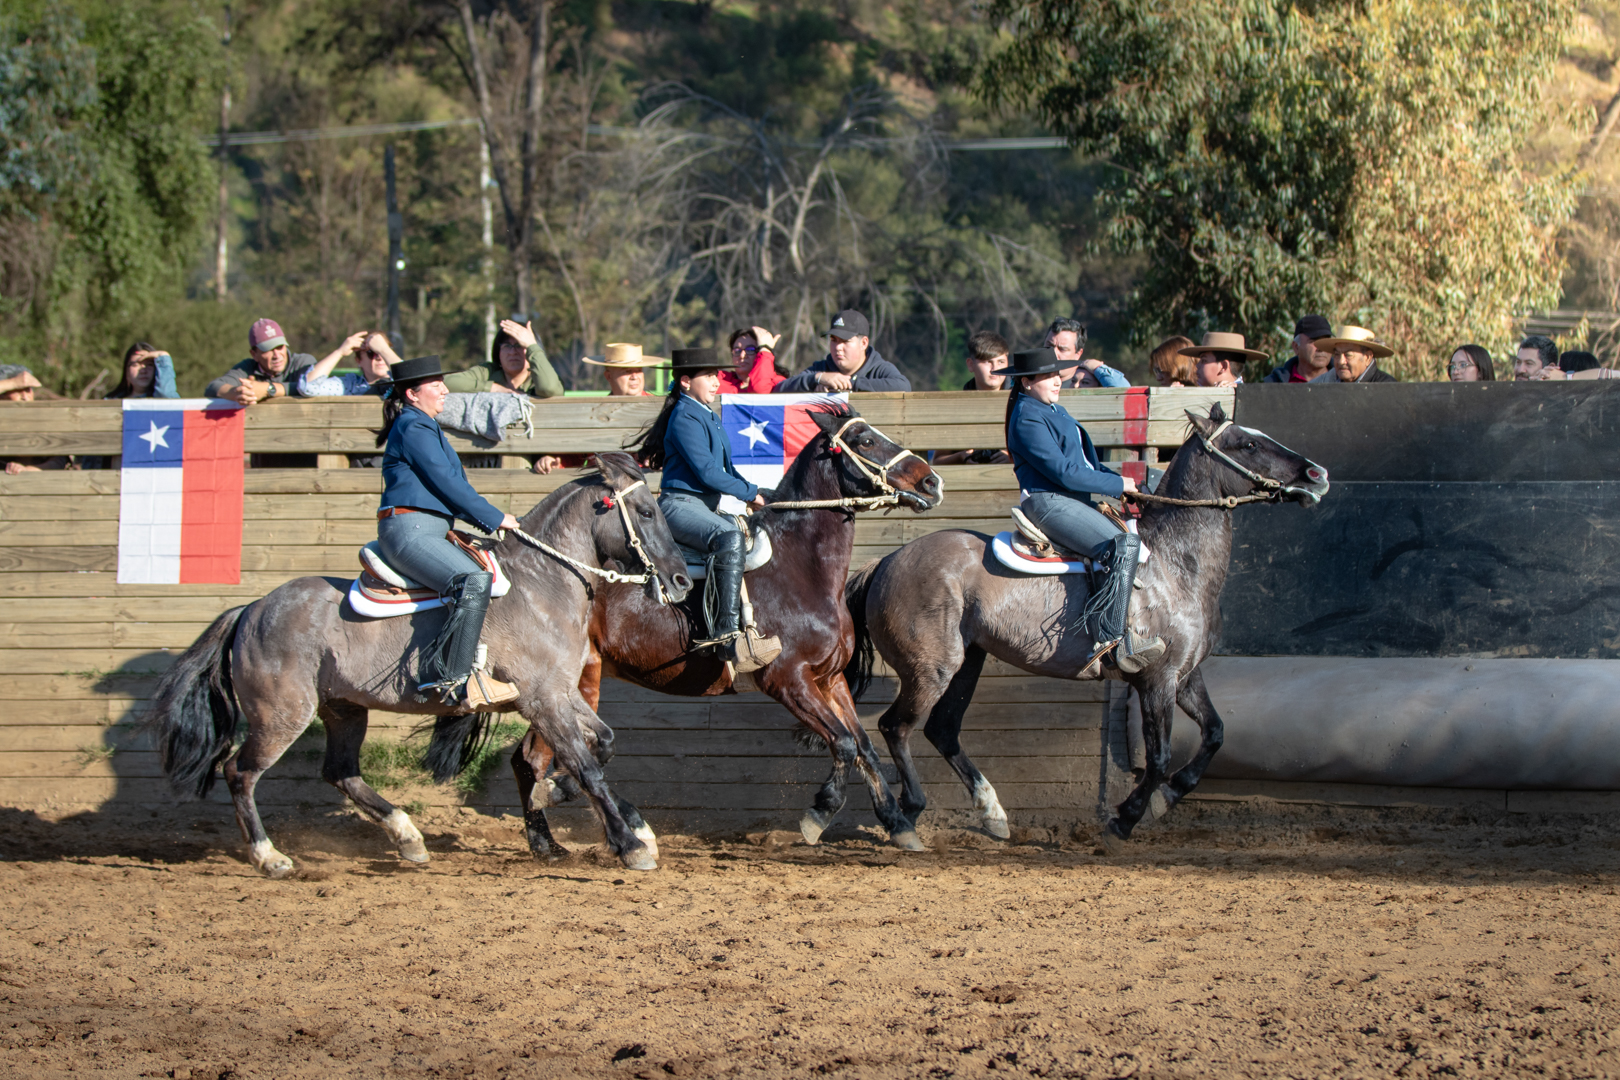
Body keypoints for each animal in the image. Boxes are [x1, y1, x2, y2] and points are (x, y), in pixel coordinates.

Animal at [142, 453, 693, 877]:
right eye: (646, 511)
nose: (682, 581)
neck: (541, 584)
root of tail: (251, 609)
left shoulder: (561, 692)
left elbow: (603, 745)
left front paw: (562, 798)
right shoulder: (543, 699)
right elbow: (585, 764)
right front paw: (629, 845)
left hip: (343, 708)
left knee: (340, 772)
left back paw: (407, 838)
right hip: (281, 715)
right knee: (240, 772)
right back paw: (269, 857)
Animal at [435, 405, 944, 856]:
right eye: (865, 440)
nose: (931, 481)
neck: (800, 568)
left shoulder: (829, 678)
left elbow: (864, 748)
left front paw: (898, 825)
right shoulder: (788, 681)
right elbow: (841, 742)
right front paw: (818, 814)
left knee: (535, 759)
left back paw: (567, 839)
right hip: (568, 685)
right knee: (538, 759)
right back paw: (585, 834)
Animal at [842, 403, 1330, 848]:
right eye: (1248, 444)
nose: (1317, 474)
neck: (1176, 566)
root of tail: (885, 562)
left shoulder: (1186, 676)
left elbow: (1214, 735)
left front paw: (1167, 798)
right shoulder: (1157, 680)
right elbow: (1158, 757)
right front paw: (1126, 819)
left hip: (967, 662)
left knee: (941, 730)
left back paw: (991, 814)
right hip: (932, 670)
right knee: (896, 728)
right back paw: (906, 816)